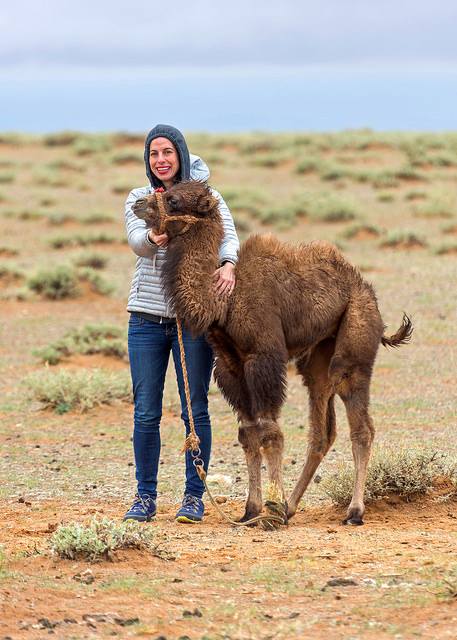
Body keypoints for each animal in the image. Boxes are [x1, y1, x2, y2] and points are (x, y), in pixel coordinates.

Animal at [132, 181, 412, 526]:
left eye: (172, 199)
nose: (138, 203)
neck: (225, 300)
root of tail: (365, 290)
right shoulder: (231, 366)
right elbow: (247, 433)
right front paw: (251, 510)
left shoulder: (263, 357)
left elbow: (269, 432)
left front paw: (271, 512)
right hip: (317, 359)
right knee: (321, 430)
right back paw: (292, 507)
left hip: (355, 342)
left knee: (361, 426)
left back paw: (352, 512)